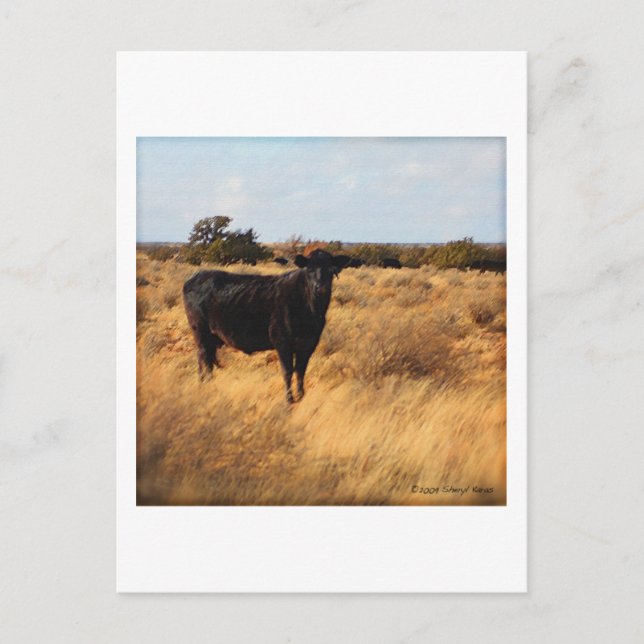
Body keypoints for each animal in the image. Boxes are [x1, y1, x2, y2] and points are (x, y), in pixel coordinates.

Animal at [182, 249, 347, 403]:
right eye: (310, 269)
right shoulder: (282, 342)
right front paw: (289, 400)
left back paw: (205, 383)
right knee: (204, 357)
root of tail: (197, 276)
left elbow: (301, 371)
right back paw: (206, 384)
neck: (311, 310)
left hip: (210, 337)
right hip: (200, 331)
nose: (321, 287)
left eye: (331, 270)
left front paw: (301, 396)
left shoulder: (308, 344)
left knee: (205, 359)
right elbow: (287, 371)